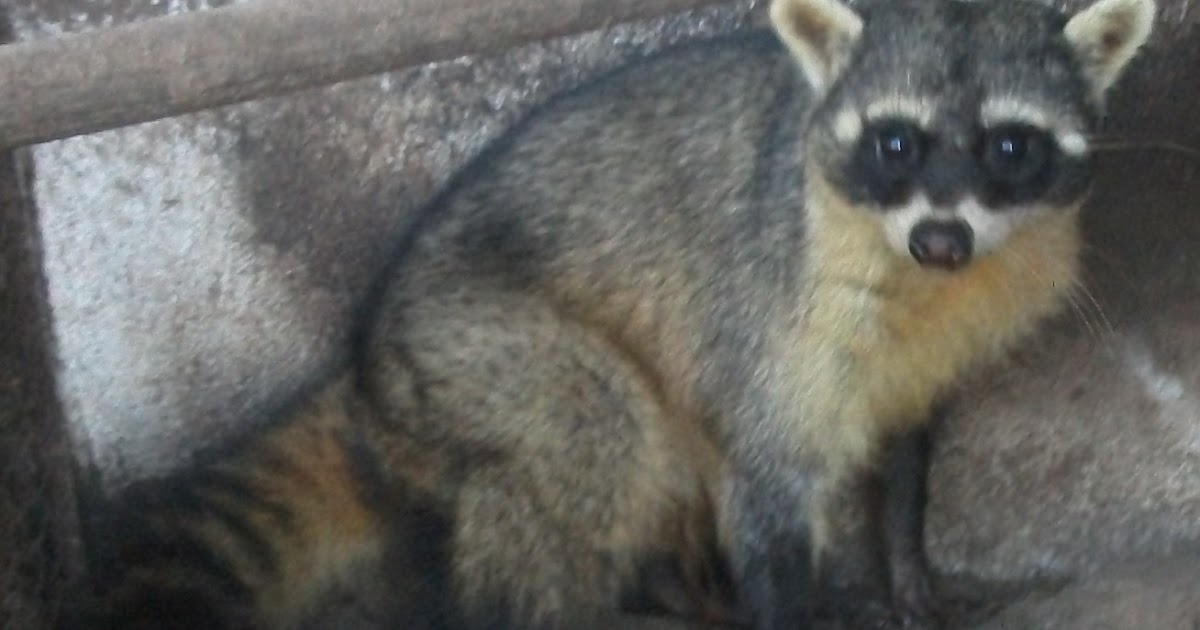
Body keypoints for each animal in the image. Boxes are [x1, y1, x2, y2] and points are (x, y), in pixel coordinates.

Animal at [73, 0, 1155, 627]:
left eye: (1010, 146)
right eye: (897, 143)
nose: (941, 237)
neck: (927, 282)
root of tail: (370, 372)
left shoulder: (943, 336)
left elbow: (907, 452)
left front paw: (910, 573)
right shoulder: (776, 312)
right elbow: (769, 488)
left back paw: (676, 586)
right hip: (475, 348)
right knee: (590, 437)